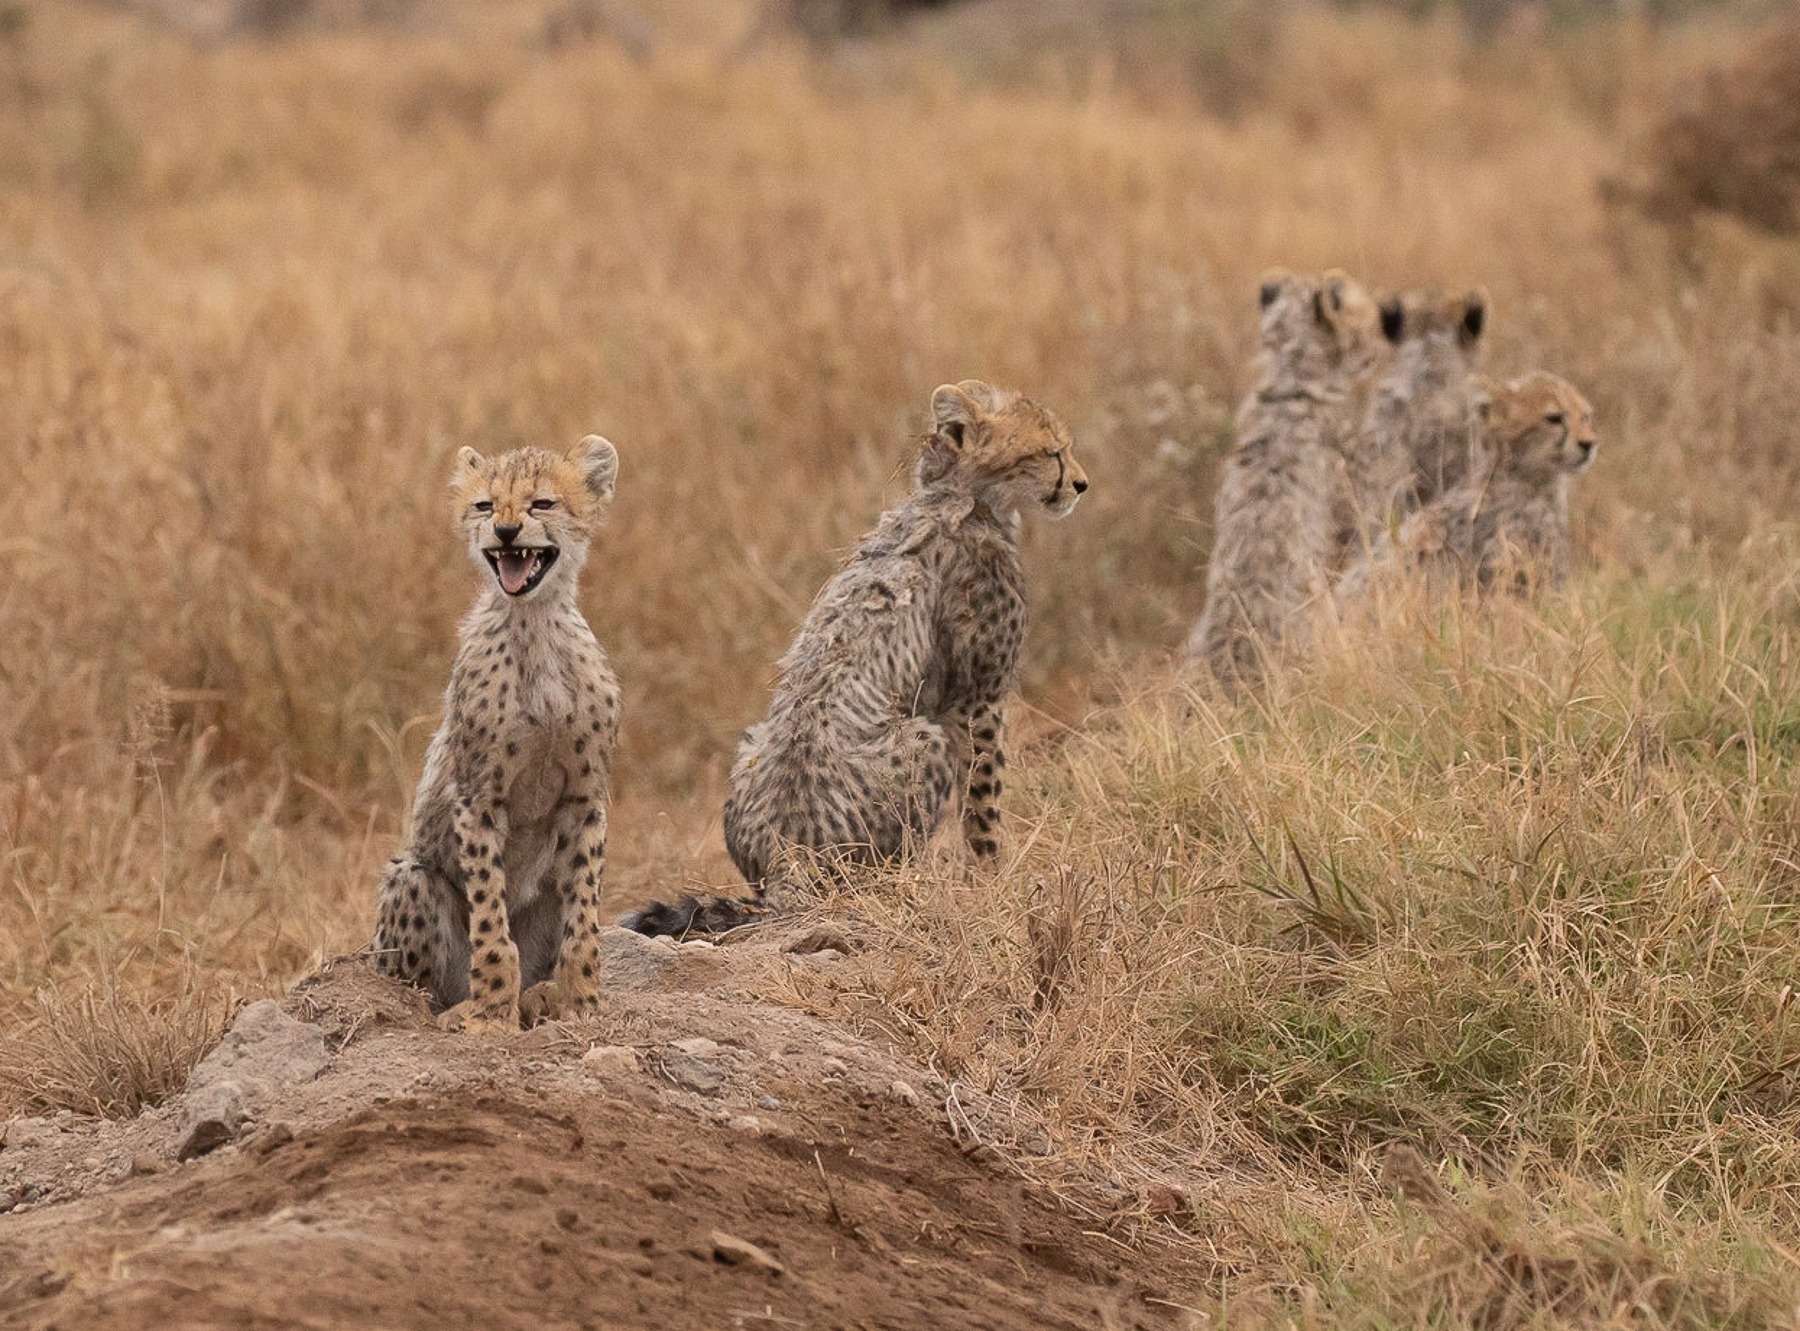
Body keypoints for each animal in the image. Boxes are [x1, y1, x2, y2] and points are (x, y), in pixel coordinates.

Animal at [371, 435, 622, 1032]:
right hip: (412, 876)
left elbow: (584, 914)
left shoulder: (586, 798)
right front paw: (489, 1011)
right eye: (485, 506)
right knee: (418, 984)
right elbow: (490, 914)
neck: (534, 624)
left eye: (542, 504)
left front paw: (583, 1001)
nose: (506, 532)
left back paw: (540, 995)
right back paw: (457, 1006)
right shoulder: (476, 795)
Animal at [621, 380, 1087, 936]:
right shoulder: (978, 702)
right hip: (922, 740)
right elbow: (983, 805)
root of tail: (786, 858)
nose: (1081, 484)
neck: (958, 497)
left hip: (751, 742)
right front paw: (993, 882)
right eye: (1050, 451)